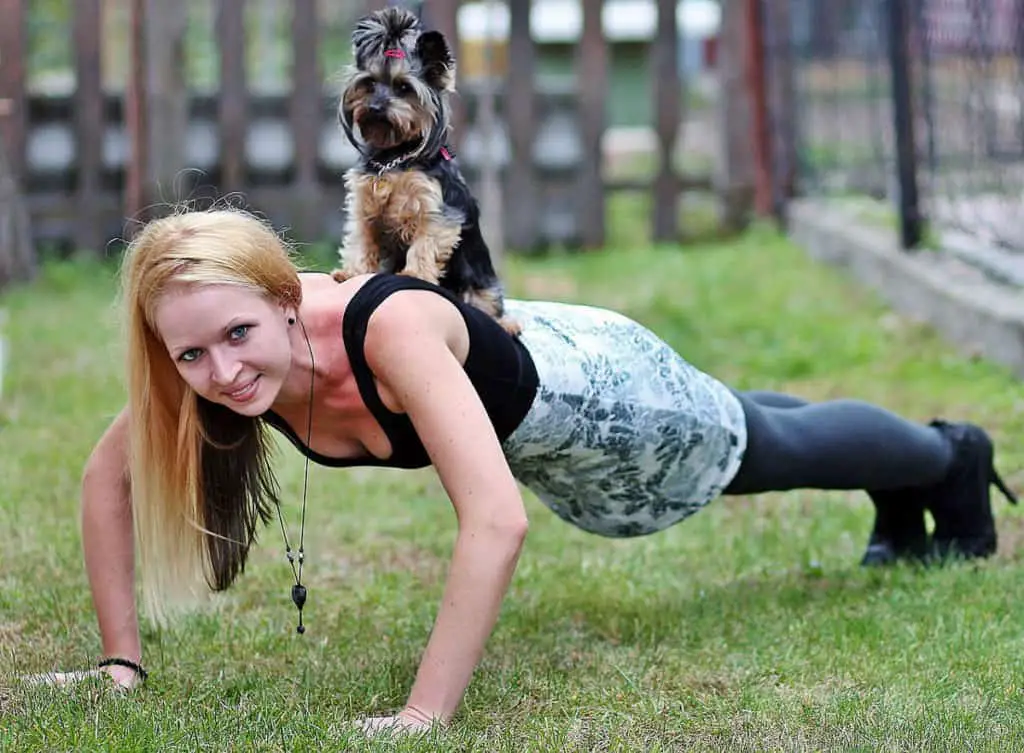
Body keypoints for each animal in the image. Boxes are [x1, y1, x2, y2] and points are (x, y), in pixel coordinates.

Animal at [329, 8, 520, 336]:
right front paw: (353, 272)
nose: (375, 107)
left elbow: (424, 246)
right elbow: (361, 240)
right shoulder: (364, 208)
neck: (393, 156)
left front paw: (414, 277)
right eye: (369, 84)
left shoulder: (436, 212)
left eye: (404, 88)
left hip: (480, 283)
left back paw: (506, 324)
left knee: (489, 304)